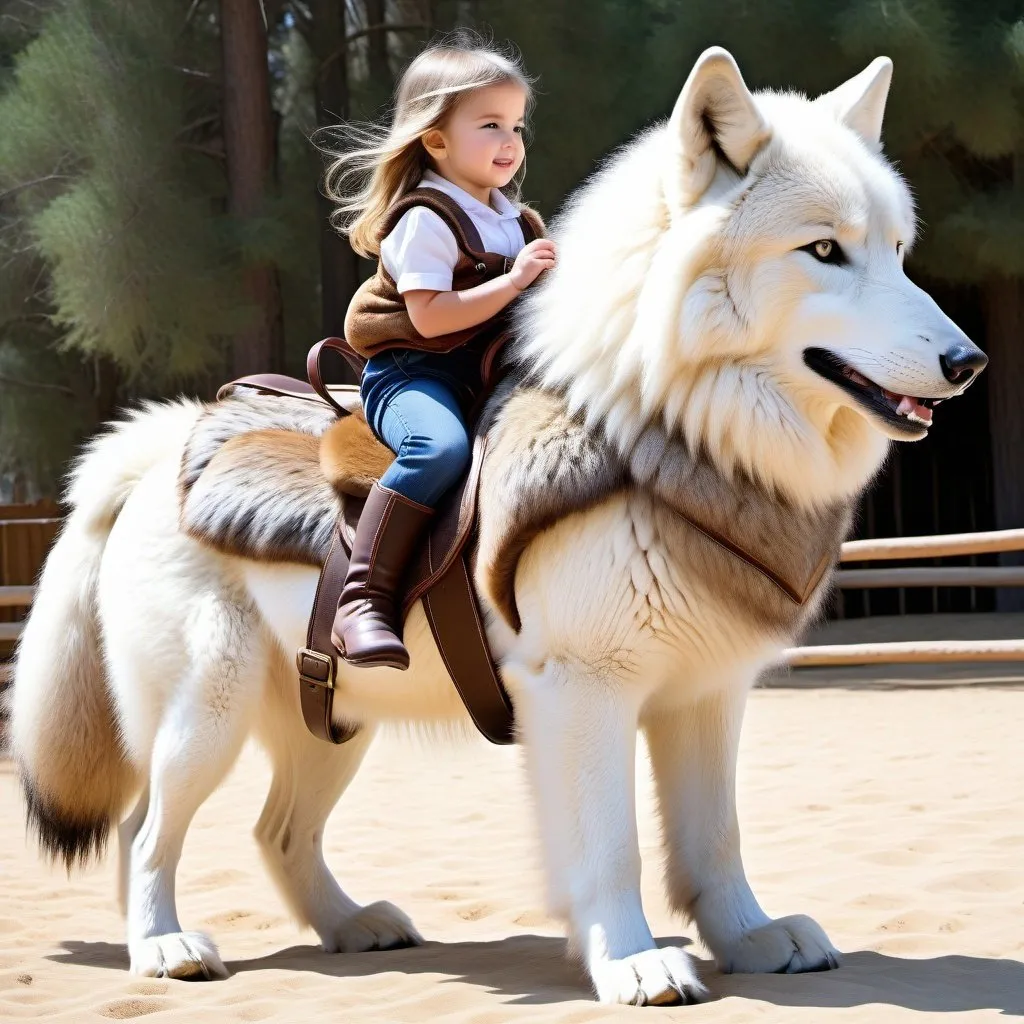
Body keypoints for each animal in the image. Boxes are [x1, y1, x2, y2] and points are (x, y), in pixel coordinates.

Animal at [6, 49, 983, 1007]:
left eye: (897, 252)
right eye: (824, 251)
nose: (968, 362)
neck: (660, 432)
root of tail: (155, 445)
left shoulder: (706, 694)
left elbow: (716, 839)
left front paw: (749, 938)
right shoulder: (582, 692)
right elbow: (612, 849)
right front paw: (632, 963)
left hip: (335, 722)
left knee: (274, 832)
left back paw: (351, 927)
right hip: (205, 716)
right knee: (143, 830)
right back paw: (163, 946)